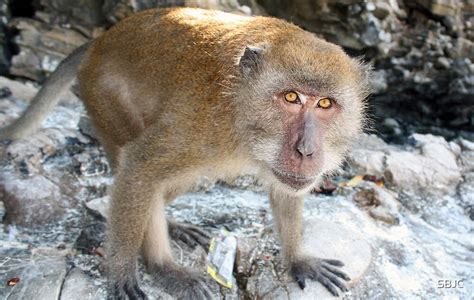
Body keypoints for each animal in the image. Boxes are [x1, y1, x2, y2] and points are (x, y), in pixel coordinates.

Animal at [0, 7, 370, 300]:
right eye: (292, 98)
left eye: (325, 104)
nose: (306, 150)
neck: (242, 117)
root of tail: (101, 40)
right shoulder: (200, 124)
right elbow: (139, 166)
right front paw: (121, 273)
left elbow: (286, 190)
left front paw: (298, 259)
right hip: (103, 97)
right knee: (139, 170)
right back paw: (163, 267)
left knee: (172, 181)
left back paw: (174, 227)